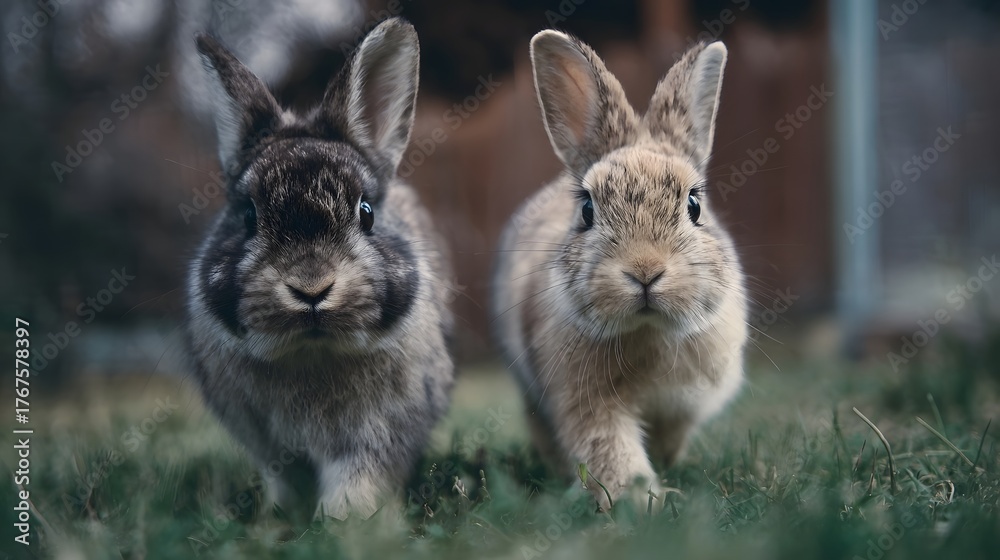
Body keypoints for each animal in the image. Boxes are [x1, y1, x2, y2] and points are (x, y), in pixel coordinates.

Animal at [184, 18, 454, 521]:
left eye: (367, 212)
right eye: (248, 216)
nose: (311, 288)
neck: (312, 350)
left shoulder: (376, 436)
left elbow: (358, 475)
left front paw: (347, 520)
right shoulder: (267, 445)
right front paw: (281, 518)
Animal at [492, 31, 747, 512]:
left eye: (694, 204)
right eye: (587, 211)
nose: (645, 270)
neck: (647, 328)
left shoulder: (682, 407)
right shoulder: (586, 405)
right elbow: (609, 447)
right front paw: (641, 499)